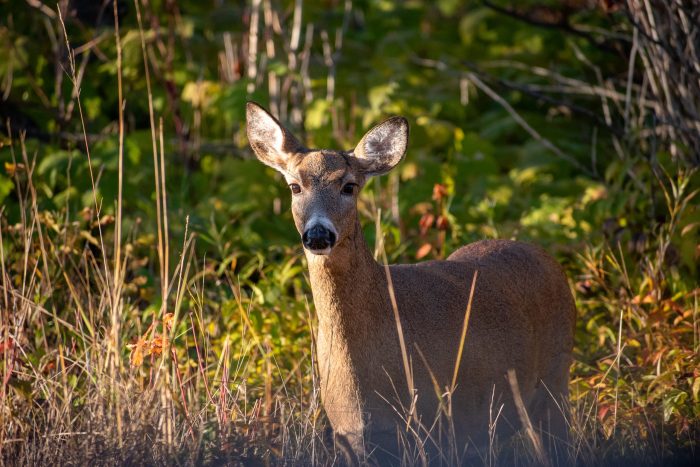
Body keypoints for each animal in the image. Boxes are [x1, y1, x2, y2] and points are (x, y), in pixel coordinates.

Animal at [245, 102, 576, 464]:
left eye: (349, 186)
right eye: (294, 186)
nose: (318, 234)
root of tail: (546, 257)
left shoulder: (436, 426)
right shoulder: (350, 436)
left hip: (555, 382)